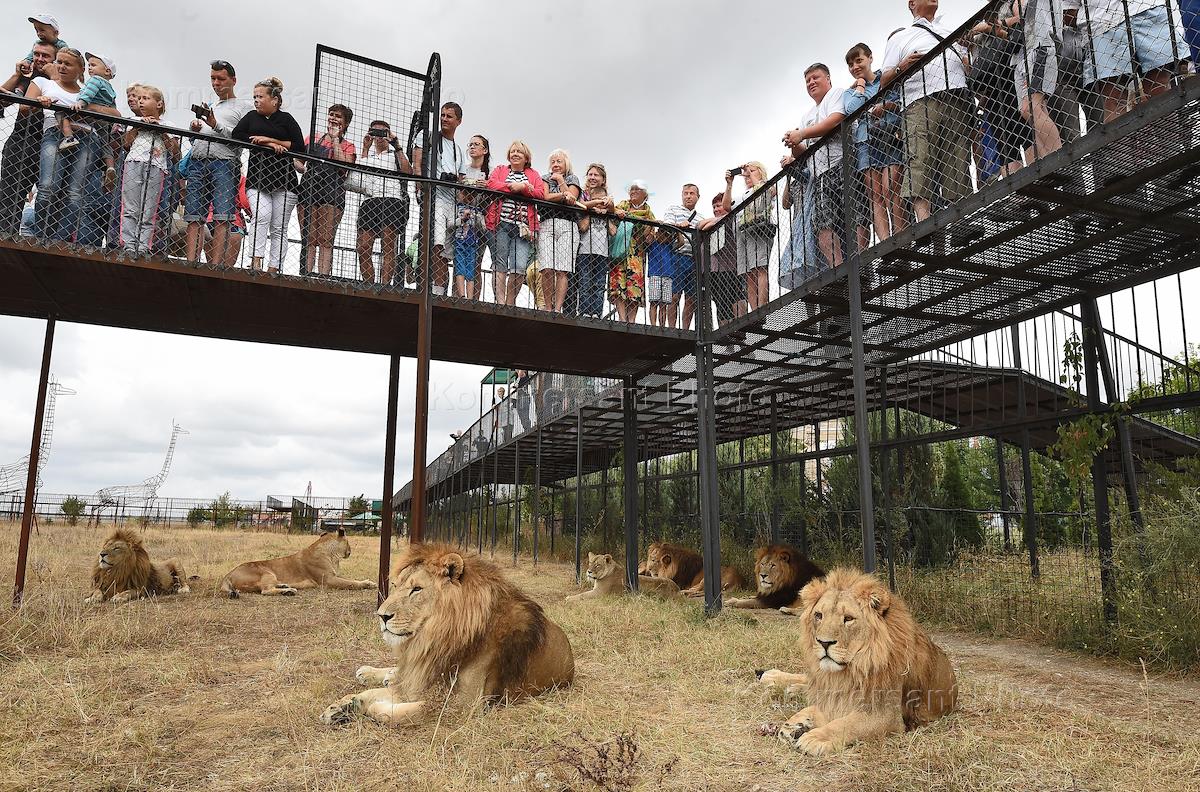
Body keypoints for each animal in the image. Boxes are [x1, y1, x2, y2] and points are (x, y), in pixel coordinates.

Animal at [219, 528, 374, 597]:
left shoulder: (333, 575)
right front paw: (368, 584)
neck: (331, 554)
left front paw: (368, 581)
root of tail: (227, 575)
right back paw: (289, 591)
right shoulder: (328, 580)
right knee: (265, 591)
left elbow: (352, 579)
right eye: (348, 542)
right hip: (266, 572)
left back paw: (285, 586)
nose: (350, 551)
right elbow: (351, 583)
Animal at [321, 542, 573, 724]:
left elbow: (407, 711)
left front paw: (367, 707)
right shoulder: (424, 676)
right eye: (394, 586)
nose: (381, 616)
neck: (439, 639)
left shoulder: (466, 705)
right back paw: (370, 673)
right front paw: (342, 706)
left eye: (416, 589)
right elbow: (375, 693)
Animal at [758, 568, 955, 753]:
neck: (853, 669)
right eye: (819, 615)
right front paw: (794, 724)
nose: (824, 642)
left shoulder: (886, 715)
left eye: (848, 619)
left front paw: (814, 737)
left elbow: (845, 724)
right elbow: (816, 709)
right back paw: (771, 677)